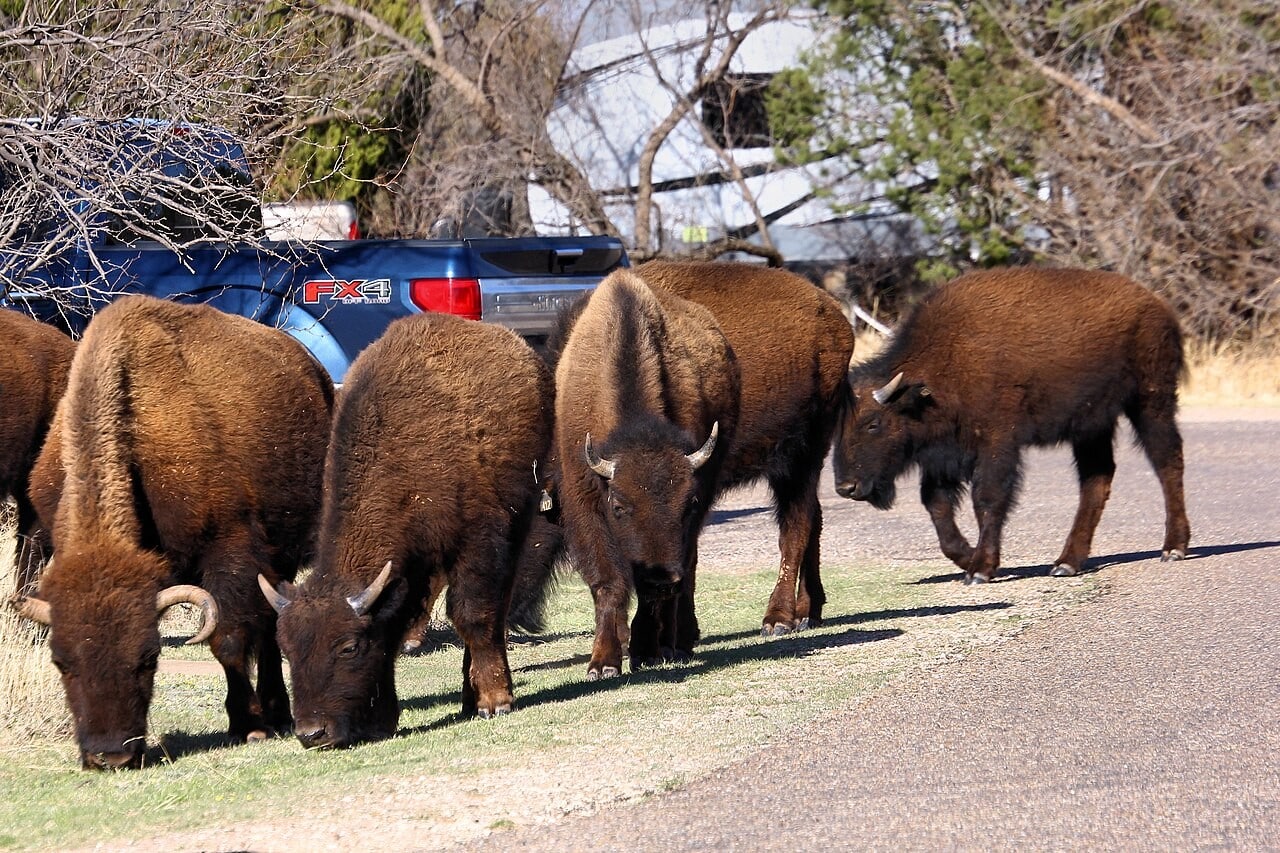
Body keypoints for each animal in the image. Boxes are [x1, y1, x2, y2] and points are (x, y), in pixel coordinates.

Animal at [12, 296, 333, 769]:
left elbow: (228, 640)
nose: (110, 756)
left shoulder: (230, 553)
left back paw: (276, 712)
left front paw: (249, 725)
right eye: (60, 662)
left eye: (149, 658)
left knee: (270, 624)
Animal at [260, 312, 554, 748]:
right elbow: (394, 631)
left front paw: (495, 701)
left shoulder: (478, 542)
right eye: (286, 650)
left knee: (494, 608)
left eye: (348, 648)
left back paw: (477, 697)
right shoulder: (407, 568)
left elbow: (473, 615)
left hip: (518, 520)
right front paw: (382, 720)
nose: (312, 733)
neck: (401, 462)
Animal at [555, 268, 739, 679]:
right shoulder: (584, 501)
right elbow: (608, 582)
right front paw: (603, 663)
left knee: (688, 569)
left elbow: (660, 587)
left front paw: (646, 651)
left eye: (689, 503)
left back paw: (672, 643)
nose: (661, 580)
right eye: (619, 506)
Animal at [637, 261, 856, 633]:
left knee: (796, 526)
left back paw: (779, 618)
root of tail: (833, 312)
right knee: (812, 518)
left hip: (805, 451)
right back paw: (807, 610)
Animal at [833, 266, 1190, 583]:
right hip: (1092, 425)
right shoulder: (944, 455)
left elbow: (988, 498)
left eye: (873, 423)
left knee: (1167, 462)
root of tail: (1158, 305)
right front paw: (969, 557)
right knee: (1096, 479)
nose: (845, 487)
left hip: (1150, 402)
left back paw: (1173, 548)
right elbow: (937, 506)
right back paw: (1066, 563)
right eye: (837, 429)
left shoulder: (997, 443)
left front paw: (980, 570)